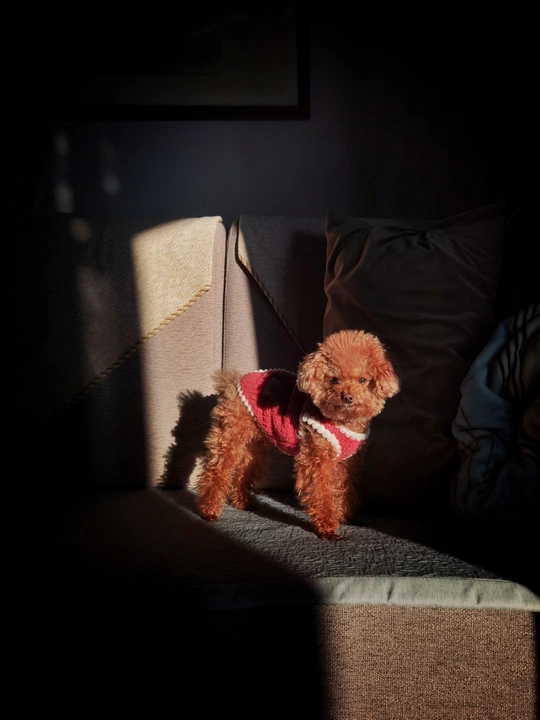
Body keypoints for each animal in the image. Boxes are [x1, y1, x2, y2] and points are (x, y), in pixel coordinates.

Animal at [196, 329, 399, 540]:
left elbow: (345, 489)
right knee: (217, 470)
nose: (347, 397)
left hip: (255, 445)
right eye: (334, 380)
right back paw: (209, 510)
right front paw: (327, 527)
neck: (341, 422)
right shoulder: (316, 459)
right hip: (231, 435)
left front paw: (348, 517)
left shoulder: (347, 464)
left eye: (362, 380)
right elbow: (322, 492)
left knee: (244, 470)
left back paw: (243, 502)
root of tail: (234, 382)